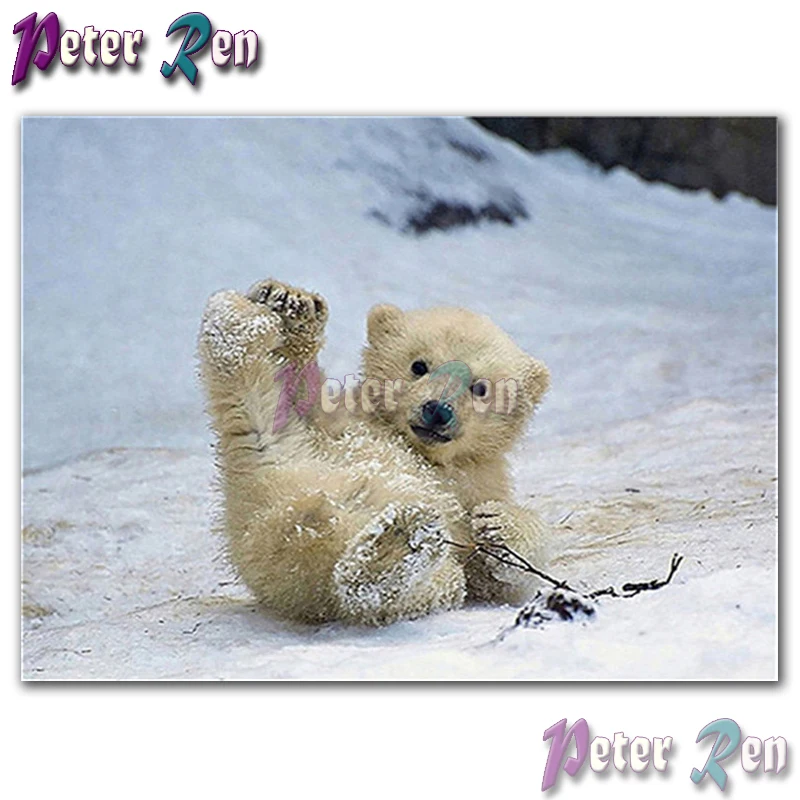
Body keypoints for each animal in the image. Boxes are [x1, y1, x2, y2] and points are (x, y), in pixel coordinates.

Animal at [198, 278, 551, 626]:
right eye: (419, 365)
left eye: (480, 387)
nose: (437, 410)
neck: (422, 451)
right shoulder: (341, 422)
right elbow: (303, 393)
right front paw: (292, 302)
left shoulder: (478, 480)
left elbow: (494, 578)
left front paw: (499, 523)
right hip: (281, 460)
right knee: (261, 404)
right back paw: (242, 318)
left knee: (415, 587)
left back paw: (396, 546)